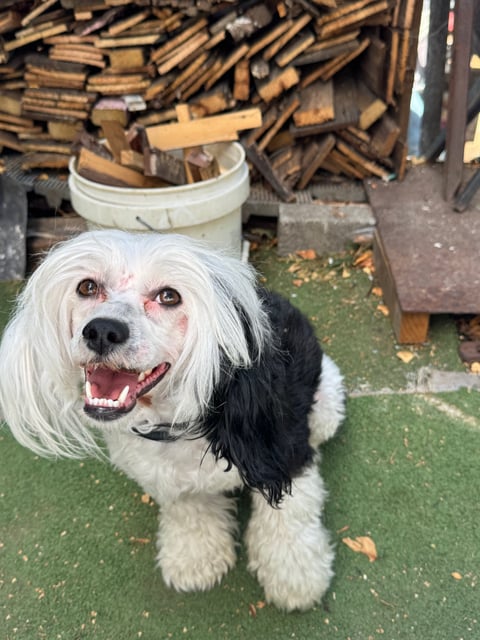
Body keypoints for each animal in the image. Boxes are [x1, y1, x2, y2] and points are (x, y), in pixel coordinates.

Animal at [0, 230, 344, 608]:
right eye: (87, 287)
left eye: (169, 296)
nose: (102, 330)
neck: (175, 425)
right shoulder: (169, 479)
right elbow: (189, 514)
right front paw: (195, 560)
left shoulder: (285, 456)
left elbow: (288, 519)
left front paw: (295, 579)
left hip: (328, 402)